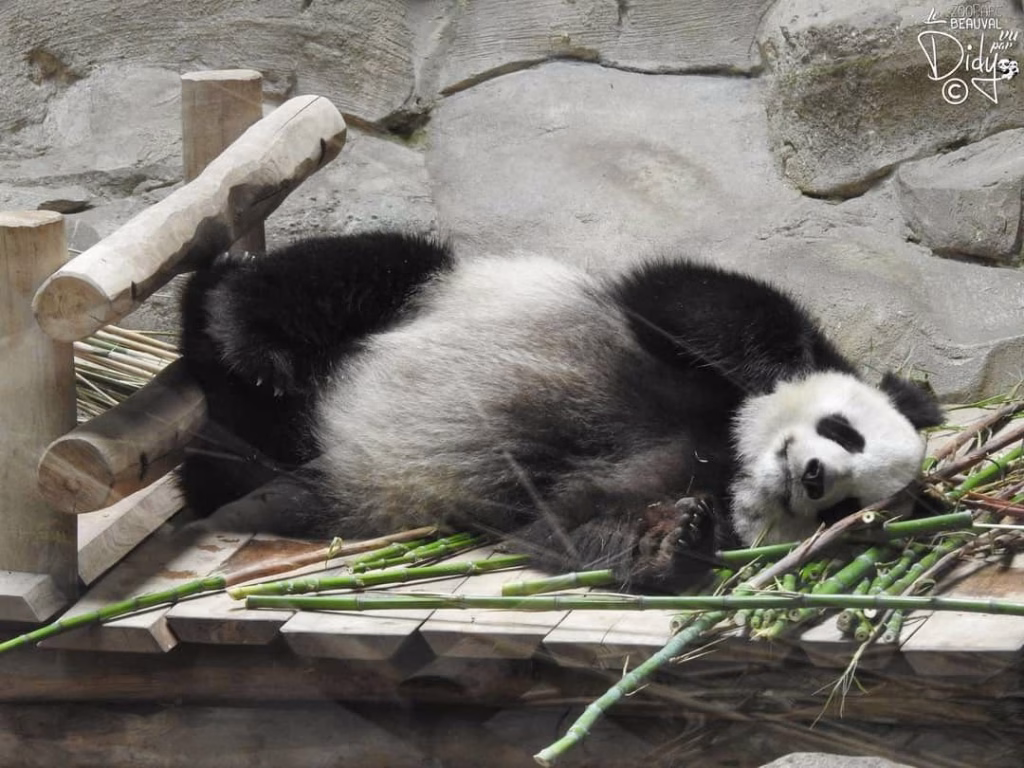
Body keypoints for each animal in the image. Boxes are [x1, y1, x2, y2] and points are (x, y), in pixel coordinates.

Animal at [179, 231, 943, 591]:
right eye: (845, 431)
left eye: (843, 509)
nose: (813, 475)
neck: (728, 447)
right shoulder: (673, 328)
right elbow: (695, 297)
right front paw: (777, 371)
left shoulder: (676, 478)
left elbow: (557, 526)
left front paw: (672, 543)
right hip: (421, 291)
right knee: (358, 268)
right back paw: (241, 333)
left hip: (311, 481)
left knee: (260, 473)